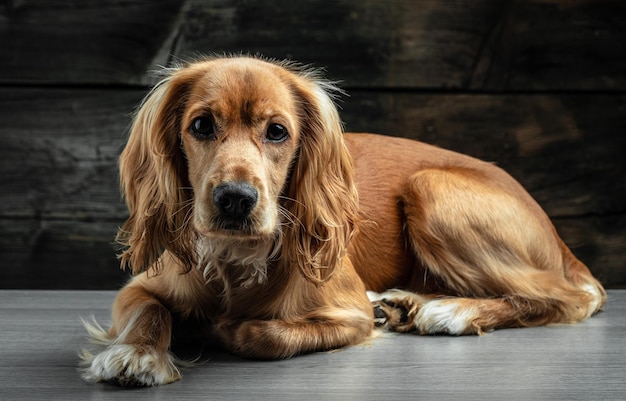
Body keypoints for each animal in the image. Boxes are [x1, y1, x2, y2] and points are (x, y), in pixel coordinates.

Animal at [79, 55, 604, 384]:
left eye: (277, 132)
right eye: (201, 125)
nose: (235, 200)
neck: (235, 260)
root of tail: (556, 233)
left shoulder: (347, 314)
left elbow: (261, 333)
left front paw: (213, 328)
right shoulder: (140, 287)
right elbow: (149, 310)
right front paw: (138, 354)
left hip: (431, 189)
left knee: (564, 298)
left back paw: (449, 311)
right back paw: (405, 303)